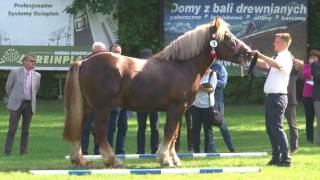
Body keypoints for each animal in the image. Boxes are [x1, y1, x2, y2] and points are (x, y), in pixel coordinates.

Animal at [63, 17, 252, 168]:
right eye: (227, 37)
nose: (248, 53)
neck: (182, 65)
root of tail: (84, 62)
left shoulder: (179, 110)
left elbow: (174, 134)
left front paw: (173, 159)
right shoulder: (176, 108)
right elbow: (169, 132)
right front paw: (164, 159)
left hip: (87, 107)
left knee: (79, 128)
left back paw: (80, 160)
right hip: (103, 108)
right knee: (99, 131)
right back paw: (113, 160)